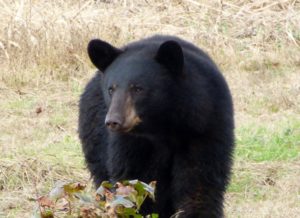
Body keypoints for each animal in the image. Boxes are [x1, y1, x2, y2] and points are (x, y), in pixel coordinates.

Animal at [78, 35, 233, 217]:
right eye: (111, 89)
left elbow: (200, 181)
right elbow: (137, 182)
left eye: (138, 88)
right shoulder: (132, 143)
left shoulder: (205, 126)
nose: (113, 121)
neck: (164, 126)